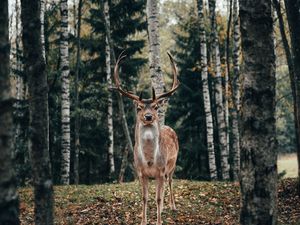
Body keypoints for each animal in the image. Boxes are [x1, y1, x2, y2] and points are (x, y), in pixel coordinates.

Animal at [112, 51, 178, 224]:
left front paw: (159, 221)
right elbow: (144, 198)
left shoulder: (161, 171)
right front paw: (143, 220)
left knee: (170, 182)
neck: (149, 160)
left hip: (172, 164)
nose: (148, 116)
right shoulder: (141, 172)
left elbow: (158, 199)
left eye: (155, 106)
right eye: (139, 107)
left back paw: (173, 206)